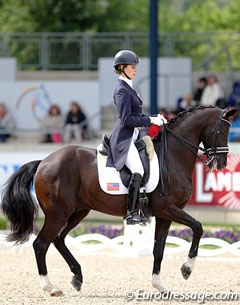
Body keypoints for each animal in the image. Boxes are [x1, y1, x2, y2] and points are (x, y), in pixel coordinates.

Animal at [0, 105, 237, 294]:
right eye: (222, 130)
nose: (222, 163)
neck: (172, 157)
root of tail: (43, 162)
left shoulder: (165, 215)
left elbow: (159, 249)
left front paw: (159, 285)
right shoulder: (168, 208)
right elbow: (198, 227)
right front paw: (187, 269)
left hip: (78, 211)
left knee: (58, 240)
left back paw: (77, 277)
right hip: (58, 214)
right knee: (41, 244)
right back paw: (50, 287)